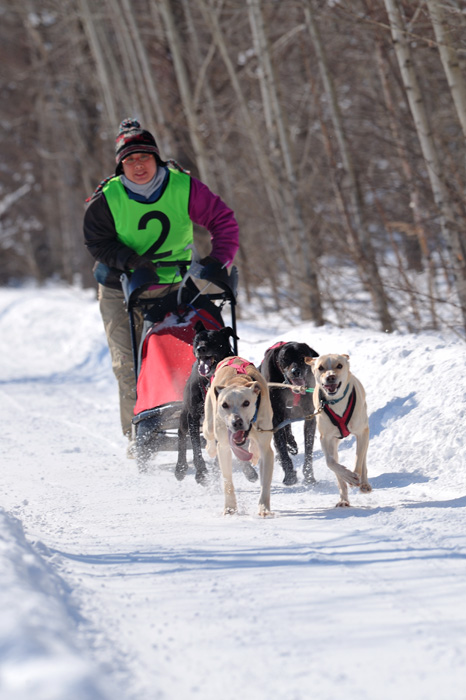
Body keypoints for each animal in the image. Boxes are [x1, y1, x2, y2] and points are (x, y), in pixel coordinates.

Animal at [175, 326, 237, 484]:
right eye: (197, 340)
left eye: (214, 340)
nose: (200, 348)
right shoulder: (193, 417)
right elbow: (196, 448)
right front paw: (201, 472)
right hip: (185, 416)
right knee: (181, 433)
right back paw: (180, 467)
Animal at [202, 358, 274, 516]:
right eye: (224, 405)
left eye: (246, 403)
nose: (237, 422)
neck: (238, 381)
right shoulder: (224, 447)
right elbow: (227, 481)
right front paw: (230, 508)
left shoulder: (266, 448)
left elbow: (265, 482)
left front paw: (264, 507)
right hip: (209, 423)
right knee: (208, 435)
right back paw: (210, 449)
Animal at [258, 340, 320, 484]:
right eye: (285, 358)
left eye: (302, 356)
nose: (295, 371)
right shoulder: (275, 419)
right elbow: (281, 448)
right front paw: (290, 475)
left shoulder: (309, 417)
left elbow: (309, 448)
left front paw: (309, 475)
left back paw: (292, 444)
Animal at [306, 352, 372, 506]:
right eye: (321, 367)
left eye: (340, 366)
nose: (330, 377)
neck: (336, 402)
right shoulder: (326, 439)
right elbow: (330, 463)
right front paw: (348, 476)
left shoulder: (362, 433)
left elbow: (359, 458)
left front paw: (355, 475)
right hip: (334, 443)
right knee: (337, 471)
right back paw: (343, 499)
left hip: (364, 434)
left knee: (363, 457)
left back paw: (364, 483)